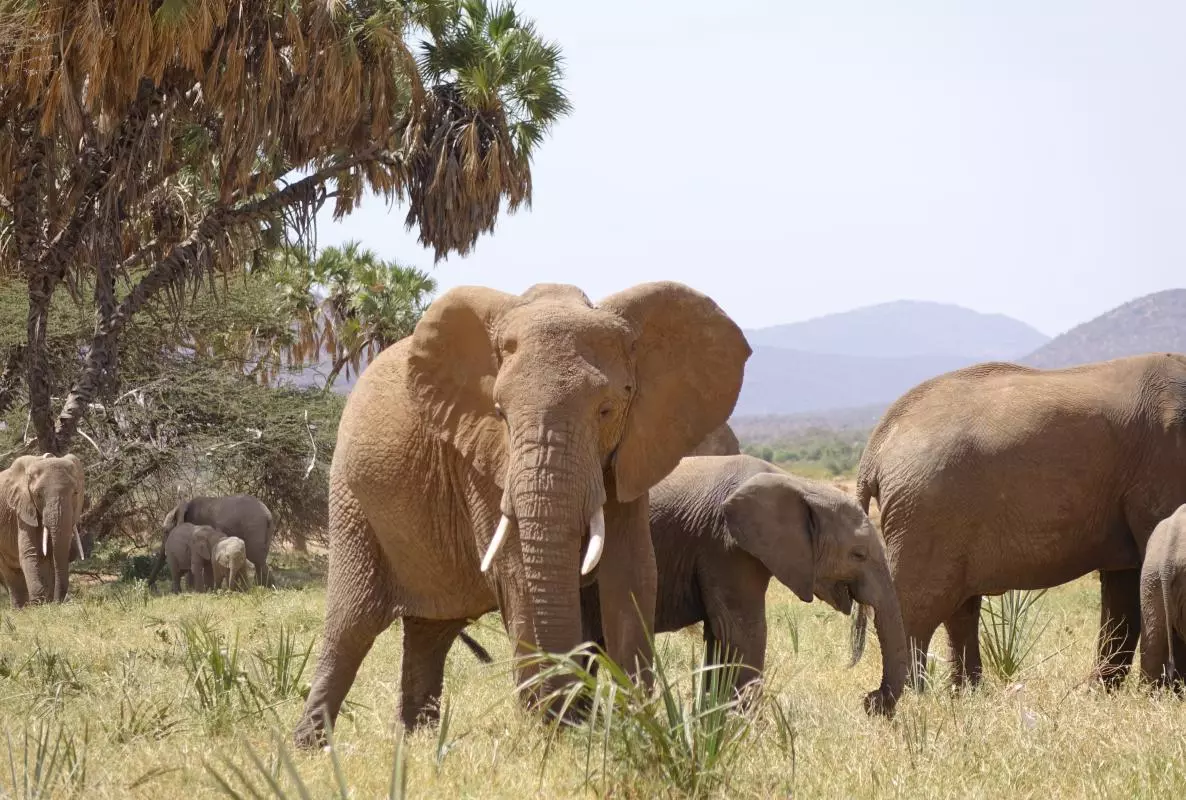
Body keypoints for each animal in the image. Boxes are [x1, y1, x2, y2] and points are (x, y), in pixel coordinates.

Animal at [0, 453, 86, 607]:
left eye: (75, 493)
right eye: (38, 495)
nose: (59, 601)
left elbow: (52, 554)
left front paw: (48, 602)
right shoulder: (23, 510)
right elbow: (31, 552)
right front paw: (38, 604)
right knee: (9, 570)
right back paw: (20, 608)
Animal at [292, 281, 750, 748]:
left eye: (606, 410)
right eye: (500, 413)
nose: (578, 711)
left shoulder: (636, 447)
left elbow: (633, 568)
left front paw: (633, 723)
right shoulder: (480, 454)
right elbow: (517, 572)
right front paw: (556, 729)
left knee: (430, 631)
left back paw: (415, 741)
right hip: (351, 499)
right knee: (352, 625)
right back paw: (310, 747)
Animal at [579, 455, 907, 715]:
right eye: (858, 554)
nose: (870, 700)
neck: (798, 484)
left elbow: (719, 635)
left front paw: (715, 719)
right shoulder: (725, 545)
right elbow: (741, 630)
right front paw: (745, 729)